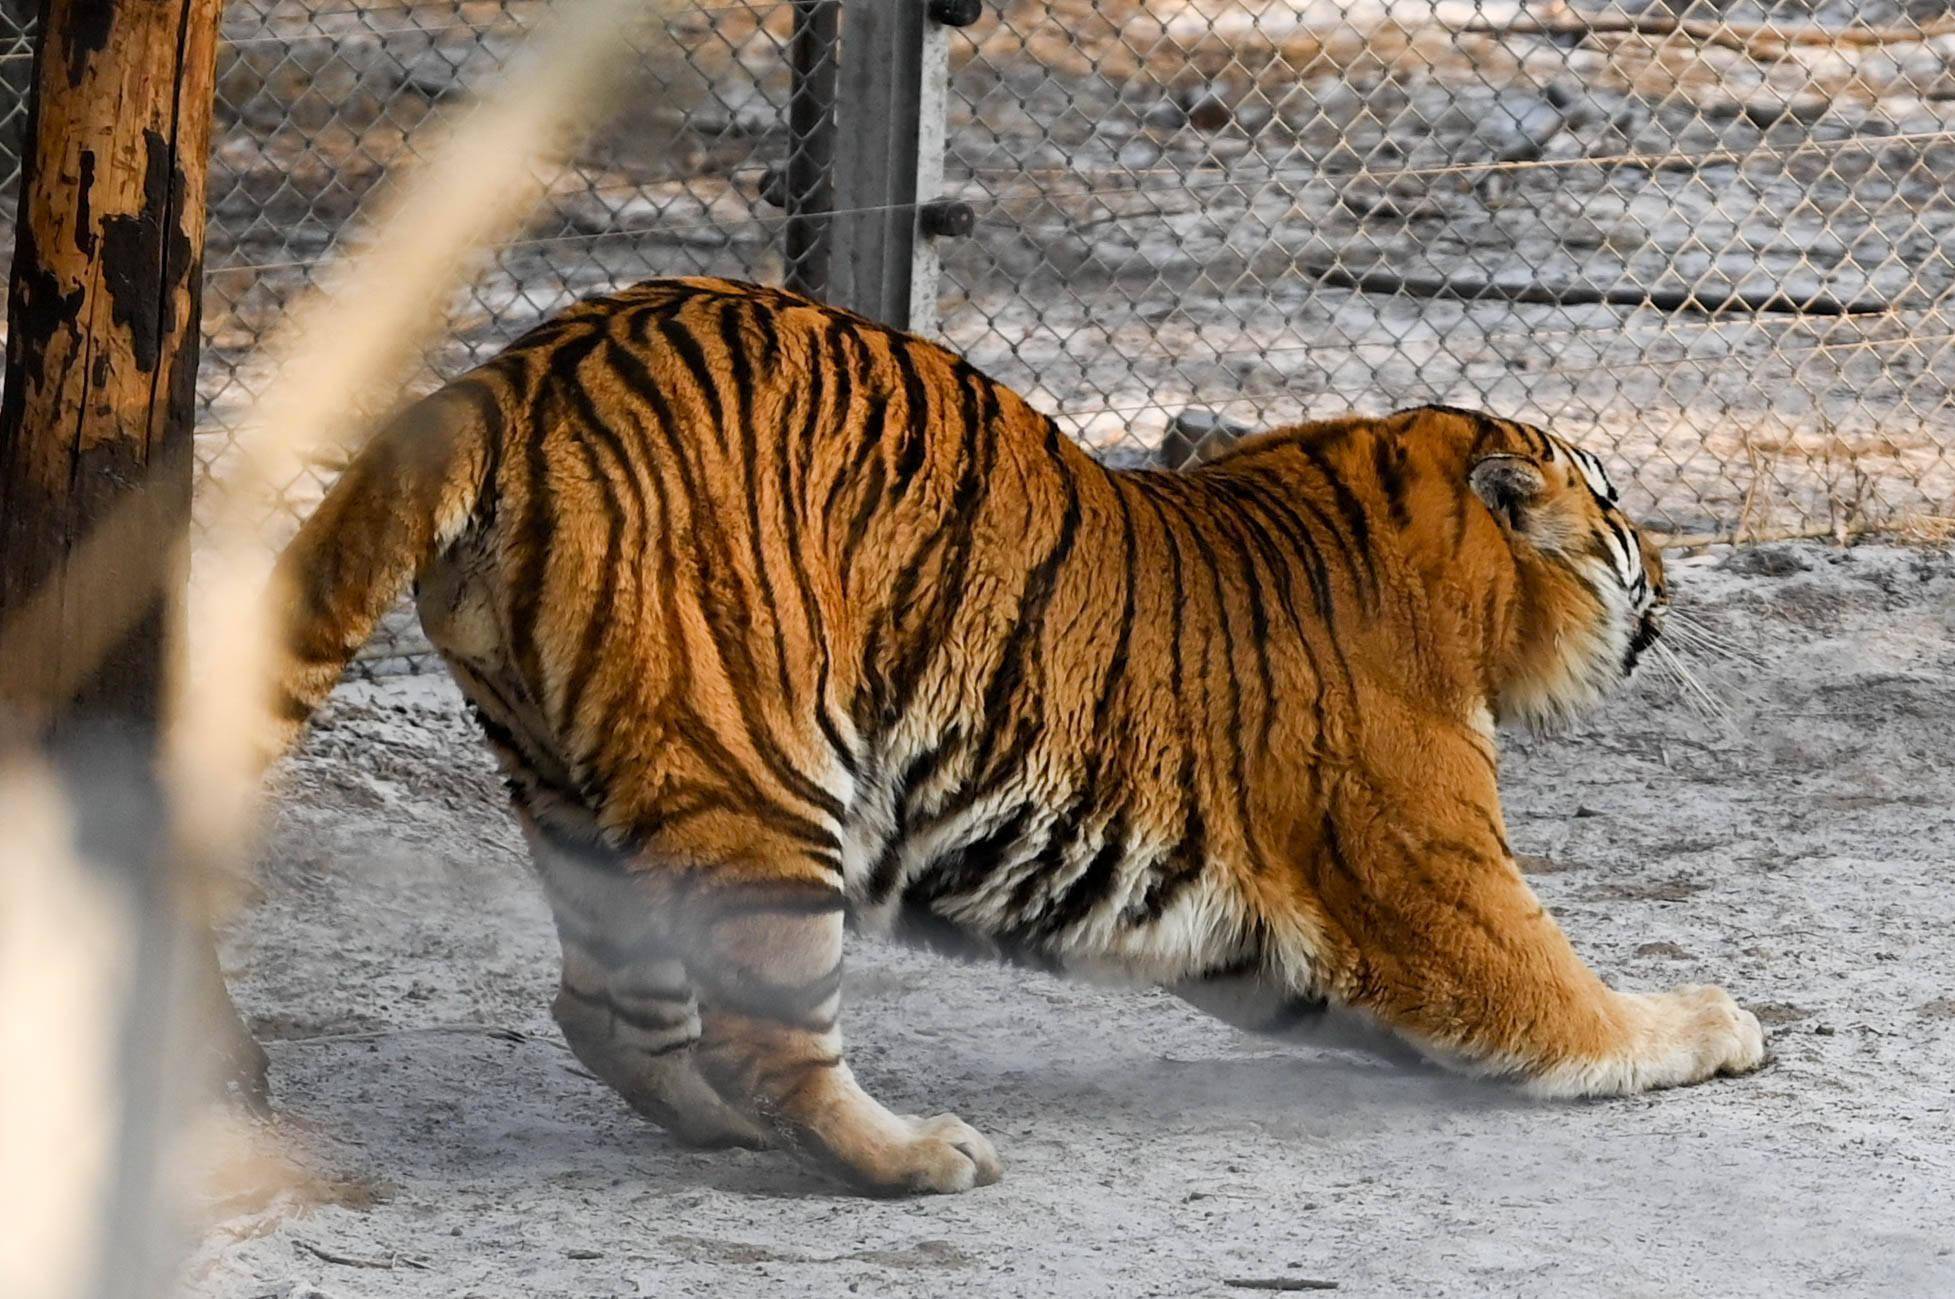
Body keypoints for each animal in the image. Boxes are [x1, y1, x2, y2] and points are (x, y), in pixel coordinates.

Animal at [263, 273, 1775, 1197]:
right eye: (1615, 504)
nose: (1667, 564)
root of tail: (518, 371)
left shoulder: (1258, 927)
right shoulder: (1431, 886)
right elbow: (1562, 1002)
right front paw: (1713, 1019)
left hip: (566, 786)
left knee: (606, 1011)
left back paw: (731, 1130)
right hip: (766, 779)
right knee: (761, 1028)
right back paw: (910, 1154)